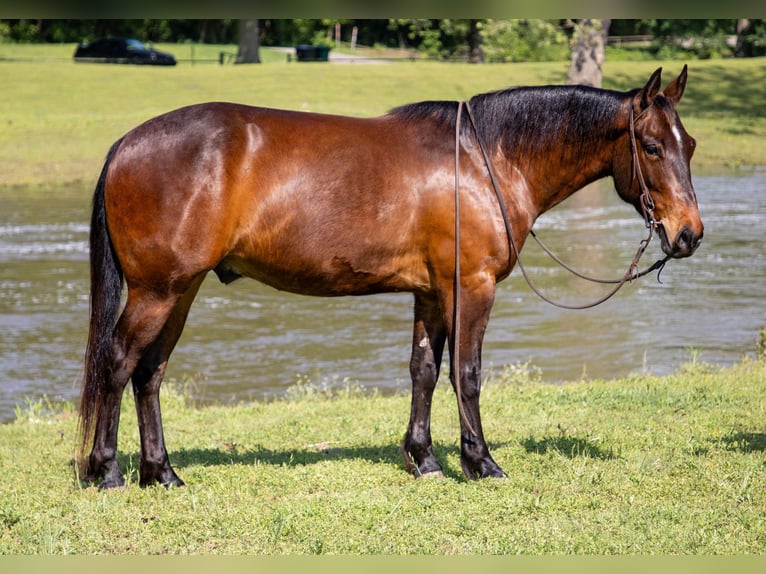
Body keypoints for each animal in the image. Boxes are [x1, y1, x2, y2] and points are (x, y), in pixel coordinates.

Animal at [78, 68, 704, 490]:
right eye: (652, 146)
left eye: (690, 145)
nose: (689, 235)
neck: (483, 159)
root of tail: (126, 144)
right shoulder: (472, 287)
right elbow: (467, 374)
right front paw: (481, 462)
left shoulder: (430, 292)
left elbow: (423, 371)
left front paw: (423, 459)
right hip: (159, 291)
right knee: (118, 361)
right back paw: (106, 472)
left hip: (180, 290)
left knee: (150, 374)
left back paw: (161, 472)